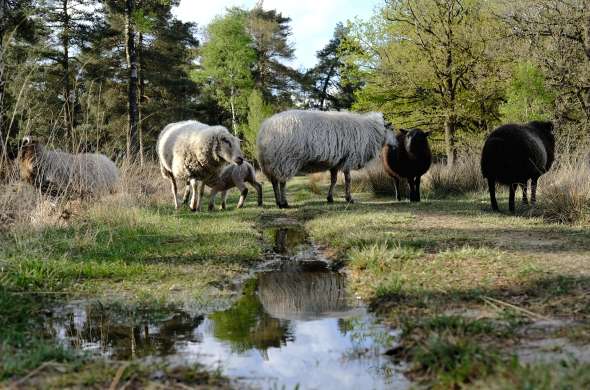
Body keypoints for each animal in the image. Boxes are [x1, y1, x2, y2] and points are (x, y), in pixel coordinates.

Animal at [258, 109, 398, 207]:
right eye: (392, 128)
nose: (396, 145)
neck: (371, 131)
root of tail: (265, 128)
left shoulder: (336, 161)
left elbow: (334, 180)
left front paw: (330, 198)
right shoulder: (348, 158)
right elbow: (348, 180)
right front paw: (349, 198)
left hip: (271, 162)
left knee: (274, 182)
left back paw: (278, 201)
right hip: (284, 160)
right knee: (282, 182)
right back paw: (284, 203)